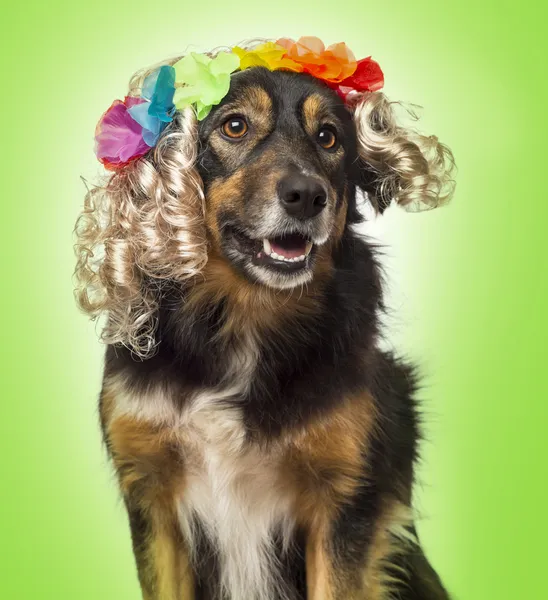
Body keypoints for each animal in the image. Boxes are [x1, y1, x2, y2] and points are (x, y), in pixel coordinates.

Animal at [76, 38, 454, 600]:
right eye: (234, 126)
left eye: (329, 137)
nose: (308, 196)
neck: (244, 314)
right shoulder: (152, 496)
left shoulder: (346, 504)